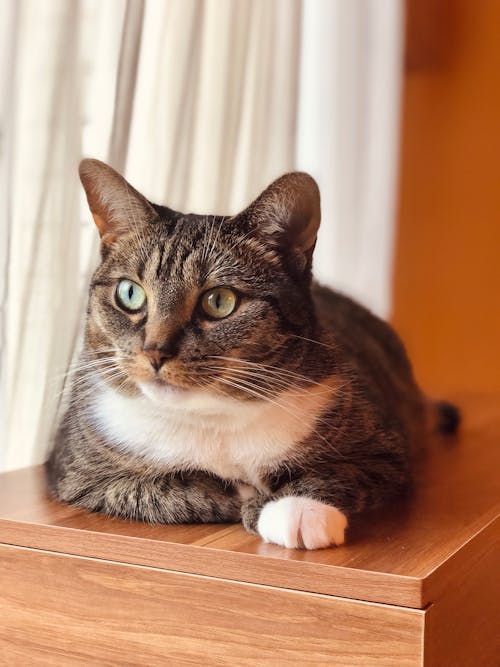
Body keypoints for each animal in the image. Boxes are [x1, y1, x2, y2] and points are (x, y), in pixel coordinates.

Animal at [45, 159, 458, 552]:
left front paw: (297, 509)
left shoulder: (385, 454)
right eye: (130, 294)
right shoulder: (77, 476)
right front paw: (242, 494)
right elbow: (168, 488)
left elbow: (338, 473)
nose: (155, 352)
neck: (211, 418)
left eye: (219, 302)